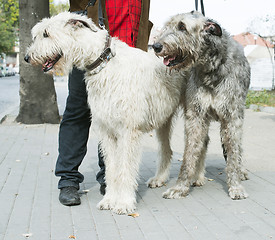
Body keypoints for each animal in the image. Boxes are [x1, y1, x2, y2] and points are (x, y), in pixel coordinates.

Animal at [150, 10, 251, 199]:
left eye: (182, 27)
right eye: (167, 26)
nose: (156, 46)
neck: (212, 68)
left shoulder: (232, 117)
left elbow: (233, 153)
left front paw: (235, 186)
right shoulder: (196, 115)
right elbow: (189, 153)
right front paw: (180, 186)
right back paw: (176, 177)